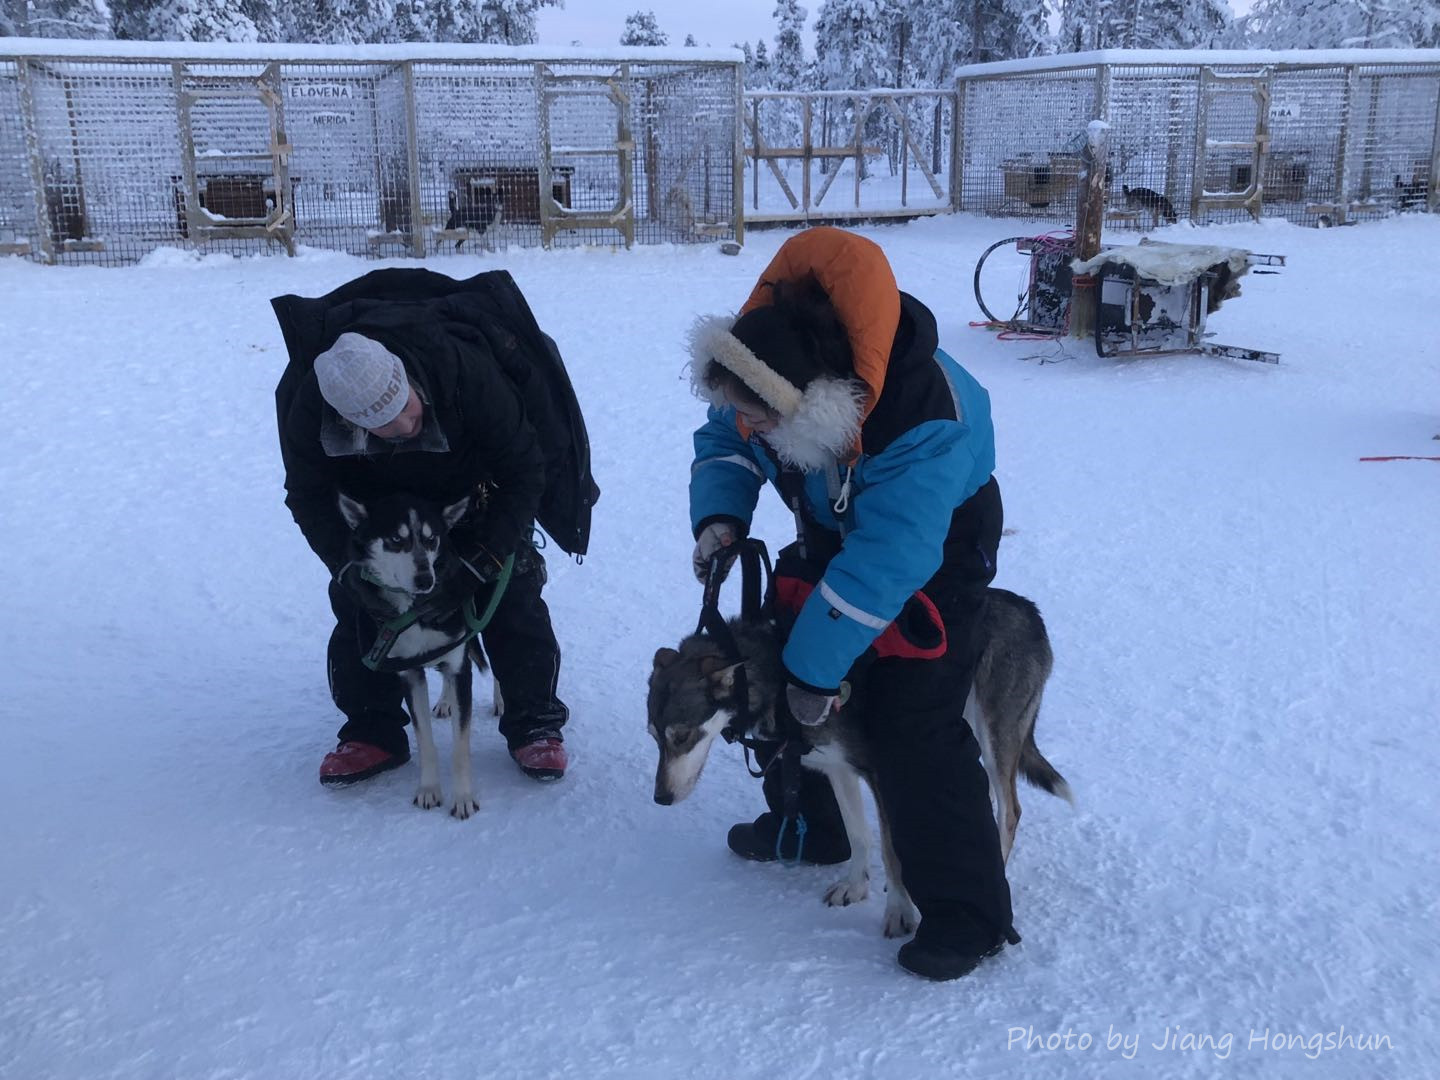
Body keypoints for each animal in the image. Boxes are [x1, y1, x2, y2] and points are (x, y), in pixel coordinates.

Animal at [336, 492, 489, 817]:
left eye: (432, 540)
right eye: (396, 539)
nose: (424, 580)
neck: (415, 612)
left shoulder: (460, 667)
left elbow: (460, 747)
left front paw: (463, 798)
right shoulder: (410, 674)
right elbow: (425, 741)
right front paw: (429, 790)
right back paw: (445, 701)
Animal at [650, 593, 1071, 938]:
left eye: (682, 736)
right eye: (654, 736)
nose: (660, 799)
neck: (779, 677)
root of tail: (1030, 611)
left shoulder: (881, 772)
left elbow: (890, 849)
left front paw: (899, 912)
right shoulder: (838, 769)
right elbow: (858, 835)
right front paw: (855, 886)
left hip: (994, 735)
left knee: (1009, 811)